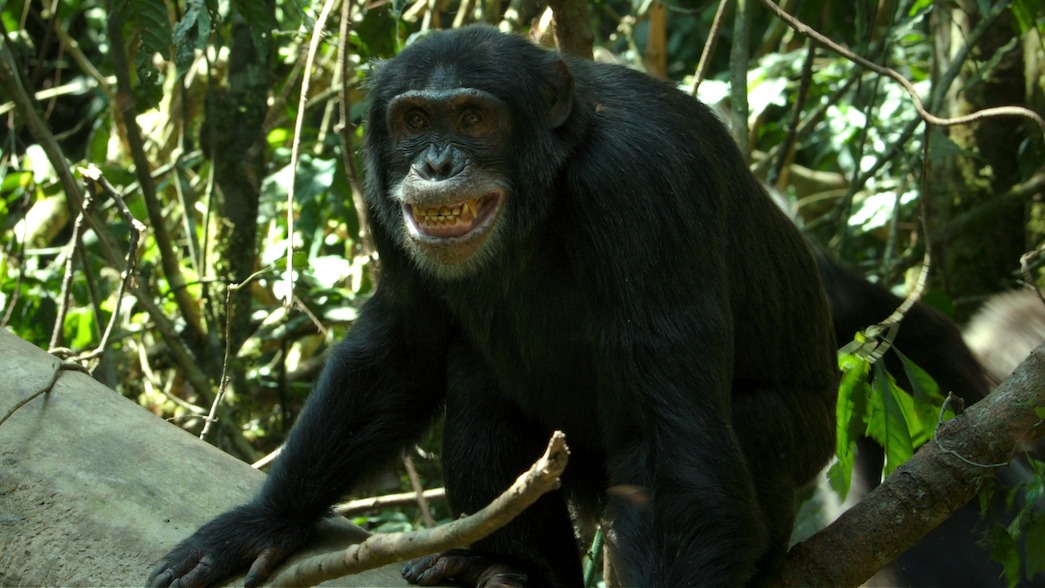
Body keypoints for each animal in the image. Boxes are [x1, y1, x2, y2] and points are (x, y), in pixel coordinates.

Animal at [147, 25, 835, 584]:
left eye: (474, 118)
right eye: (415, 120)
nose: (436, 162)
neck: (553, 174)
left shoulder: (646, 183)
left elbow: (668, 447)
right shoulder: (380, 199)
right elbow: (403, 345)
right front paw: (264, 522)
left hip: (803, 446)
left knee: (746, 428)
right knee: (477, 382)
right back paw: (514, 570)